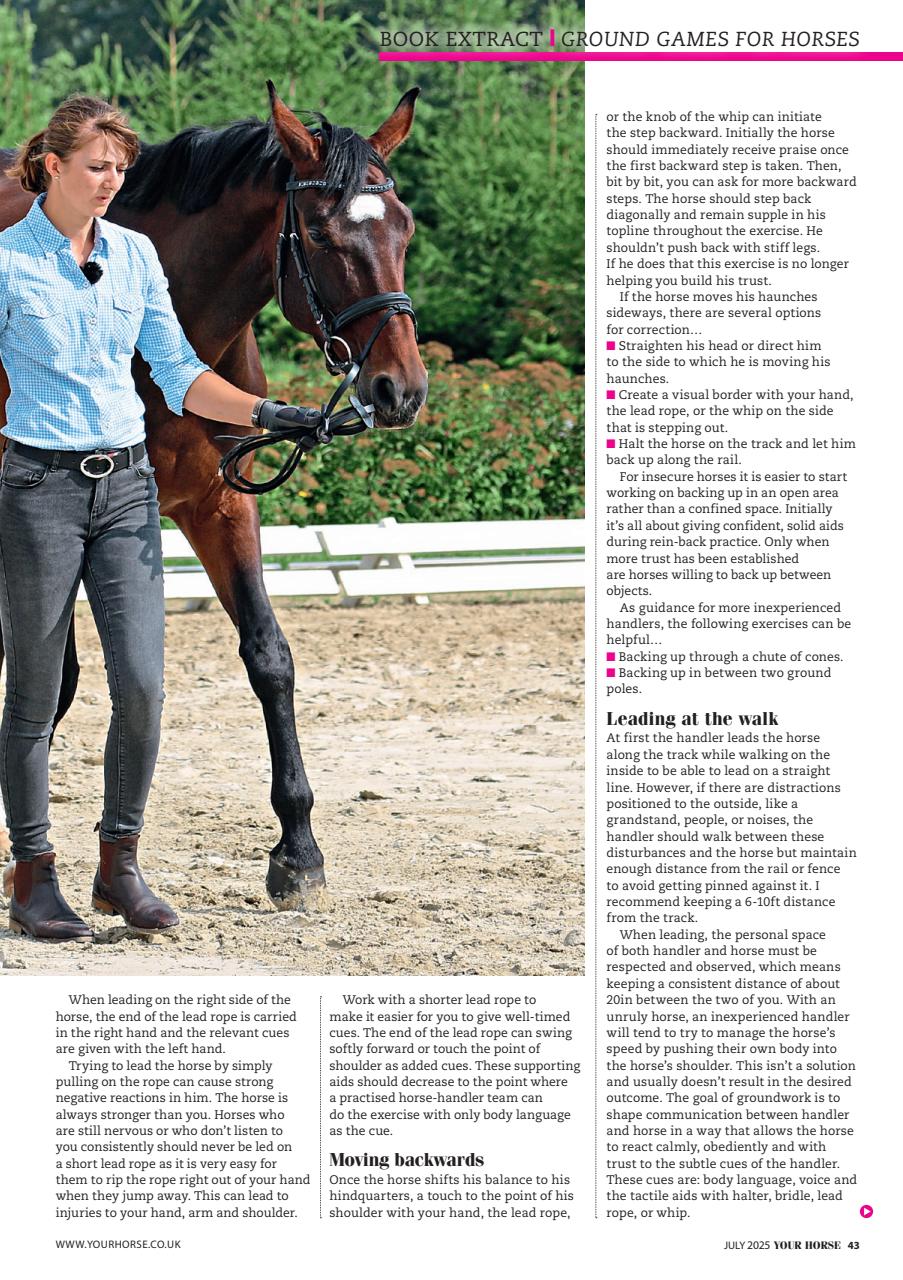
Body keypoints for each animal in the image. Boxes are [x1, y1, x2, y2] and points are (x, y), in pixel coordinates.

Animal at [0, 84, 427, 910]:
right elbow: (52, 677)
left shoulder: (218, 506)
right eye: (319, 233)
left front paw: (297, 851)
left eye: (404, 228)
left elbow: (268, 656)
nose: (399, 390)